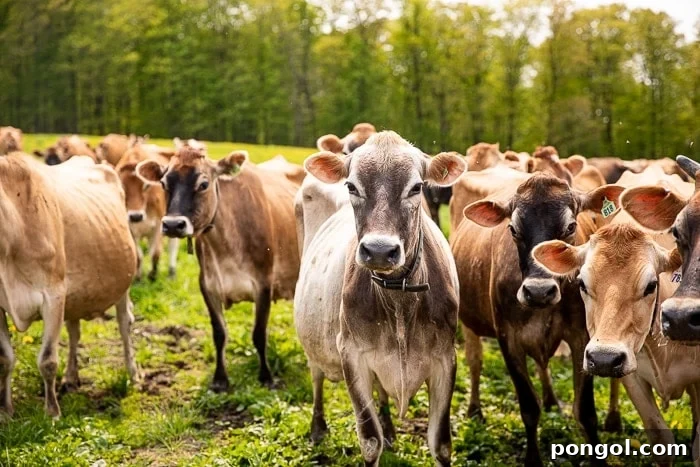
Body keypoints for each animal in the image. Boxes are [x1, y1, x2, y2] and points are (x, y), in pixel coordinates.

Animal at [0, 154, 137, 418]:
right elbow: (5, 358)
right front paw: (6, 411)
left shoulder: (53, 294)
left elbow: (48, 360)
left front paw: (52, 413)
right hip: (75, 294)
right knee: (74, 330)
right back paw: (71, 378)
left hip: (123, 279)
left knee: (125, 324)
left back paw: (134, 374)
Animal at [116, 144, 179, 281]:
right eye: (122, 186)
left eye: (146, 185)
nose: (135, 216)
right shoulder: (129, 227)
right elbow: (138, 255)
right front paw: (138, 277)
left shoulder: (159, 224)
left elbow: (156, 253)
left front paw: (153, 275)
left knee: (172, 246)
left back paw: (172, 272)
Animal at [135, 146, 300, 388]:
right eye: (164, 184)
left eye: (203, 184)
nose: (173, 224)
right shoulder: (207, 285)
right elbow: (219, 333)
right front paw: (220, 379)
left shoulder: (264, 283)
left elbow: (259, 333)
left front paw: (266, 377)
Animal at [295, 131, 465, 465]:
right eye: (351, 186)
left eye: (416, 187)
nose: (379, 250)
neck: (398, 298)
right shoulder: (351, 355)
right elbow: (369, 440)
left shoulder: (445, 358)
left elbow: (440, 443)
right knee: (316, 375)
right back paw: (318, 427)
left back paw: (389, 428)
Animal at [452, 172, 624, 465]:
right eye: (513, 229)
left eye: (570, 227)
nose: (539, 291)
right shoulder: (508, 340)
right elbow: (529, 408)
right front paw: (533, 458)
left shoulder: (581, 337)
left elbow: (585, 411)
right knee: (475, 362)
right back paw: (475, 409)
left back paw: (552, 400)